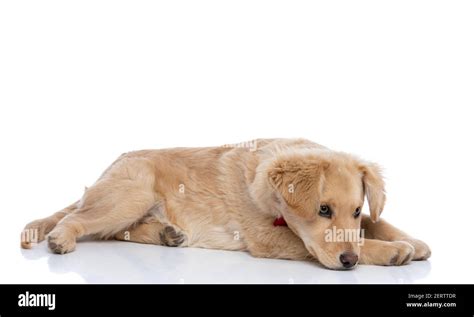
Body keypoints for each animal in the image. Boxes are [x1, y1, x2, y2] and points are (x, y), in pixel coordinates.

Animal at [20, 138, 432, 270]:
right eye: (323, 210)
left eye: (357, 210)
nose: (348, 262)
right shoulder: (267, 239)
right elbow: (351, 241)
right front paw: (391, 250)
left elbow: (376, 224)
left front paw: (412, 240)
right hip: (131, 194)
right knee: (78, 217)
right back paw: (61, 238)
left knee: (117, 232)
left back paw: (168, 234)